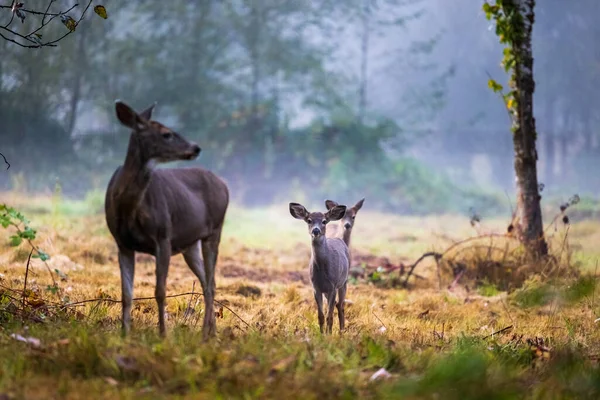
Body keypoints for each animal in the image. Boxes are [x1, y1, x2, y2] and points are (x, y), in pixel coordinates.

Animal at [104, 101, 229, 340]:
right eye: (166, 134)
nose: (196, 148)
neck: (130, 208)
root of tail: (224, 184)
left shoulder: (163, 236)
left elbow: (160, 291)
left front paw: (163, 334)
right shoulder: (122, 243)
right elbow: (126, 294)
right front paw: (124, 334)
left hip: (214, 230)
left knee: (211, 283)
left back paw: (205, 335)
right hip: (190, 244)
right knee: (208, 282)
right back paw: (211, 333)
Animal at [288, 203, 350, 334]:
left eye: (324, 221)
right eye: (309, 220)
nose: (315, 230)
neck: (323, 271)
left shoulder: (333, 287)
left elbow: (329, 316)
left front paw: (329, 334)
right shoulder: (316, 288)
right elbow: (321, 315)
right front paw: (322, 334)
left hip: (344, 282)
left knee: (341, 305)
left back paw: (342, 331)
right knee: (337, 304)